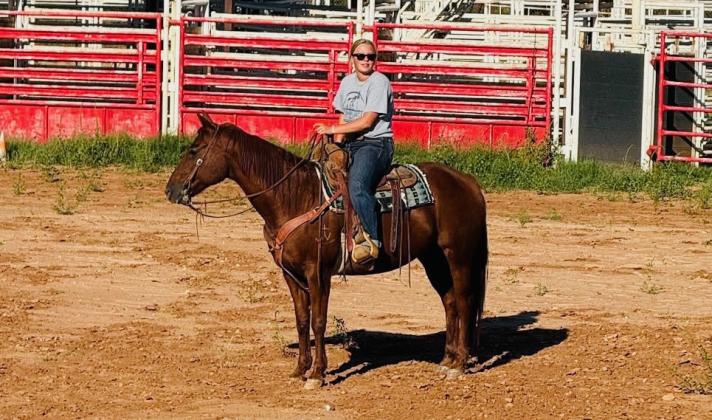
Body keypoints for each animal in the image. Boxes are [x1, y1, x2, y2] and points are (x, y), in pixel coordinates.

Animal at [165, 113, 488, 389]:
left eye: (194, 150)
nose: (171, 190)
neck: (296, 196)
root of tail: (468, 182)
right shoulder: (291, 274)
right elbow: (301, 320)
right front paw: (300, 368)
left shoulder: (317, 272)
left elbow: (318, 321)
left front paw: (317, 374)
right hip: (433, 257)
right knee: (449, 301)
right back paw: (446, 359)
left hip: (458, 255)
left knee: (464, 300)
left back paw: (460, 363)